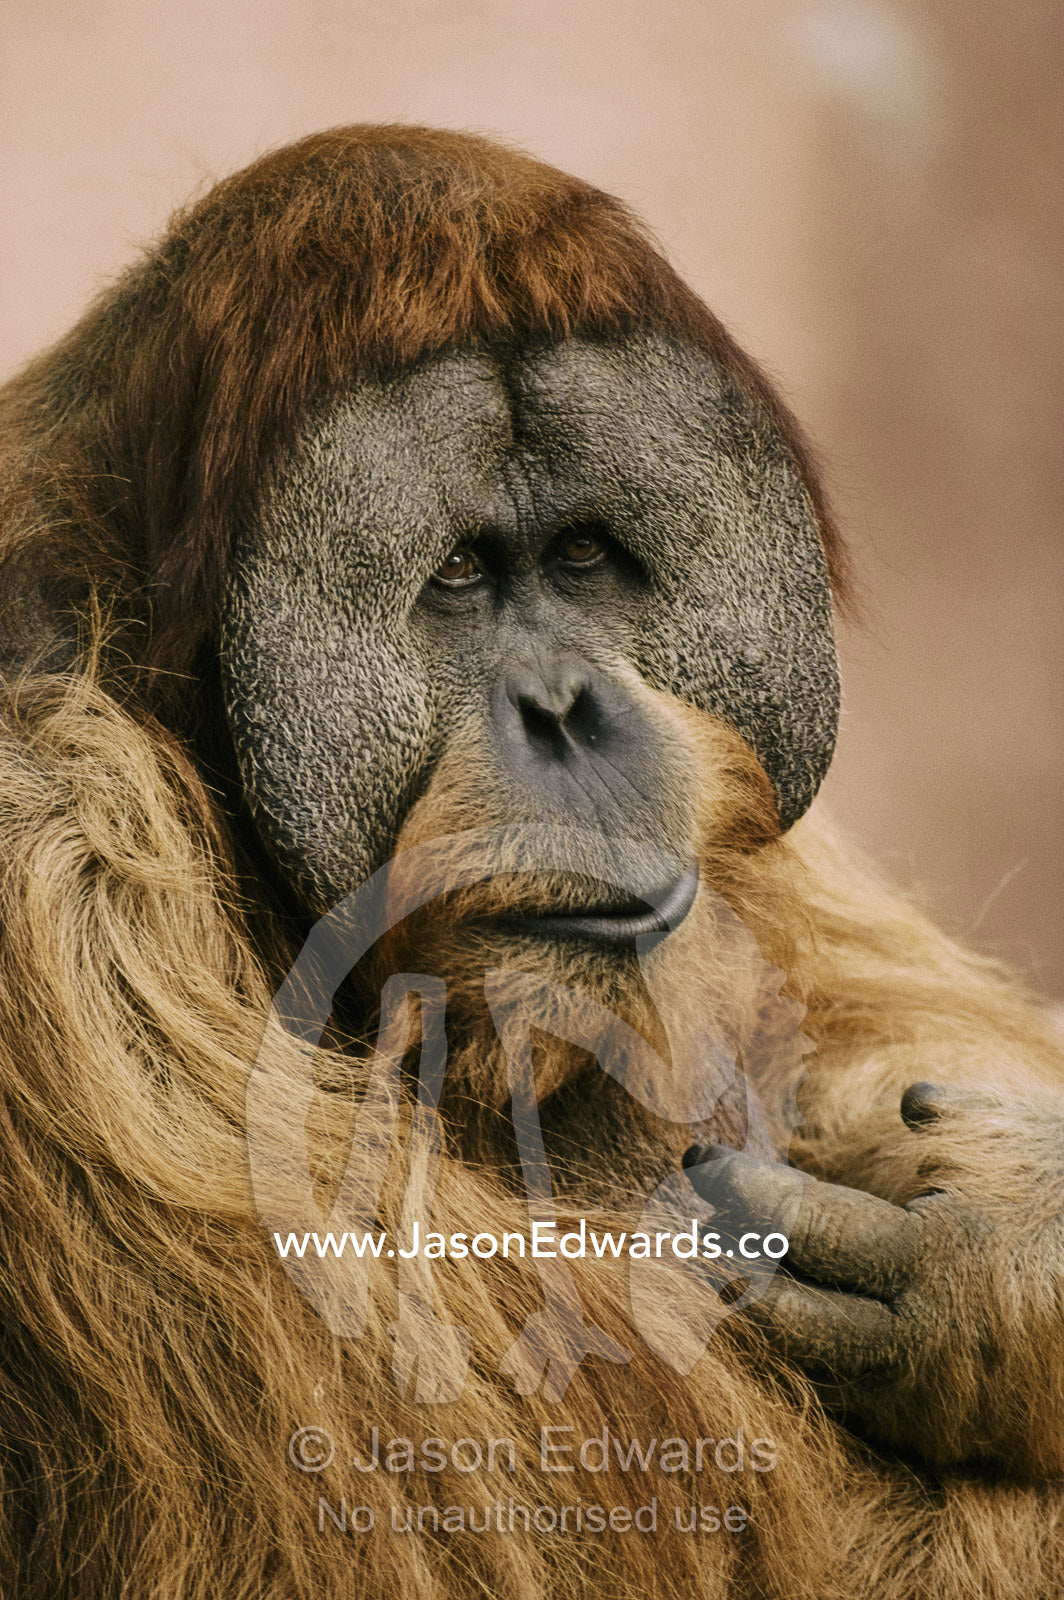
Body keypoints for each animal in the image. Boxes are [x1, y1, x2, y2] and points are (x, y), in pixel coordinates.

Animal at [1, 123, 1063, 1600]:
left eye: (579, 556)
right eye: (458, 575)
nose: (567, 709)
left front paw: (1008, 1219)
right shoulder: (54, 867)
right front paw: (1007, 1277)